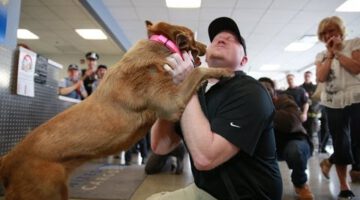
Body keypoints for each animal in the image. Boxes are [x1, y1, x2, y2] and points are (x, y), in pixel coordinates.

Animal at [0, 21, 232, 199]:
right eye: (194, 37)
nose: (207, 45)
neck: (160, 46)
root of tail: (8, 160)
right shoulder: (171, 103)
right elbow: (197, 71)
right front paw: (223, 71)